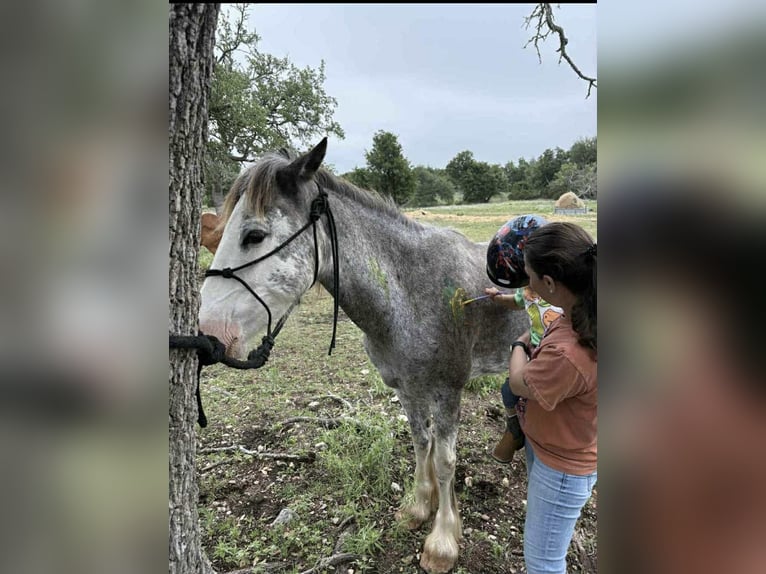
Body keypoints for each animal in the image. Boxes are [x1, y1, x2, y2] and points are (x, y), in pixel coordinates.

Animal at [198, 138, 528, 573]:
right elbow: (421, 443)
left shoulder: (447, 390)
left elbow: (444, 460)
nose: (208, 331)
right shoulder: (407, 388)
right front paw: (418, 507)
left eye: (254, 235)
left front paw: (442, 541)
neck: (409, 293)